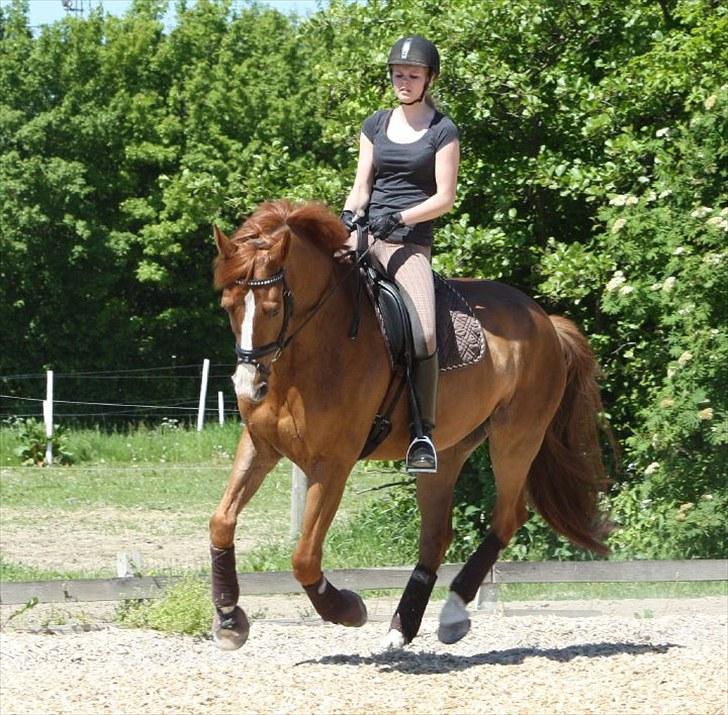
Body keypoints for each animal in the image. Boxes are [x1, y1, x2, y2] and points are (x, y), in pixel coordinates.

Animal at [209, 199, 608, 652]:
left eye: (273, 309)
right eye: (228, 306)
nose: (248, 386)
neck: (307, 354)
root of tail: (545, 321)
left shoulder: (333, 464)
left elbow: (304, 557)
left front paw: (346, 609)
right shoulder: (260, 446)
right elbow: (221, 522)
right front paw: (229, 618)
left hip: (516, 439)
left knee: (507, 518)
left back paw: (450, 611)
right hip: (449, 451)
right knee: (437, 535)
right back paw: (404, 626)